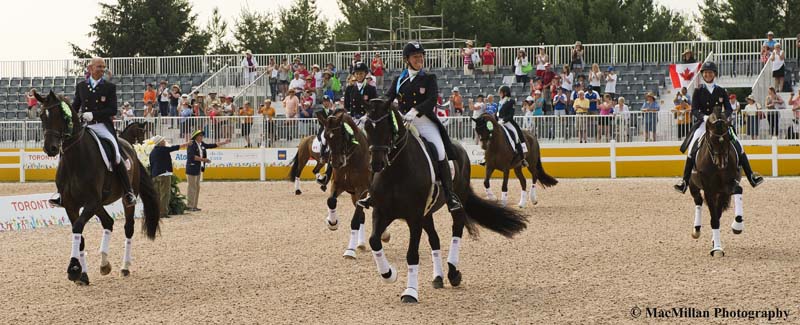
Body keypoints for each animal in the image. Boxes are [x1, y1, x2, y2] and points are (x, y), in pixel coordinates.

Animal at [35, 90, 161, 284]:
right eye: (42, 115)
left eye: (61, 115)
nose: (51, 148)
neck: (75, 160)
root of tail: (129, 147)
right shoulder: (71, 205)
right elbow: (80, 236)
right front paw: (83, 275)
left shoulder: (91, 202)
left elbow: (78, 227)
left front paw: (73, 268)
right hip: (98, 204)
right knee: (108, 222)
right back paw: (104, 264)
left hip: (124, 199)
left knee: (128, 228)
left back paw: (125, 267)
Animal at [318, 110, 390, 256]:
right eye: (326, 137)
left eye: (341, 136)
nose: (337, 163)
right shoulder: (338, 185)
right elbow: (331, 201)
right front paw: (332, 223)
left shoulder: (362, 189)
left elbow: (355, 220)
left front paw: (350, 250)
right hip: (354, 195)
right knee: (363, 215)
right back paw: (361, 243)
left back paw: (383, 235)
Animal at [360, 97, 524, 302]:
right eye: (367, 127)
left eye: (386, 127)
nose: (376, 164)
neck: (396, 171)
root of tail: (459, 147)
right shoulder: (382, 212)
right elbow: (374, 240)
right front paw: (389, 274)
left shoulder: (414, 217)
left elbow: (412, 254)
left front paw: (410, 292)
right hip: (427, 213)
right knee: (434, 239)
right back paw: (438, 277)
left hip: (455, 202)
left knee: (457, 229)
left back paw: (453, 273)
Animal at [684, 106, 740, 256]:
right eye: (711, 140)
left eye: (728, 138)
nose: (722, 164)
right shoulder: (709, 190)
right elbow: (714, 219)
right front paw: (717, 249)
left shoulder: (727, 188)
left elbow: (718, 215)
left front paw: (737, 226)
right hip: (693, 185)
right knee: (698, 201)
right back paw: (696, 230)